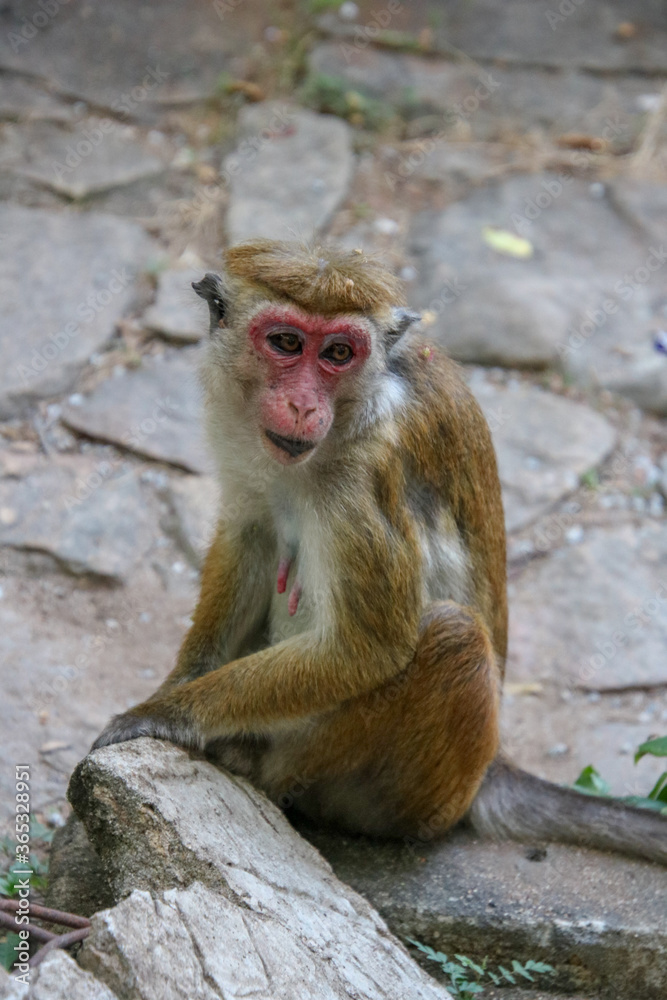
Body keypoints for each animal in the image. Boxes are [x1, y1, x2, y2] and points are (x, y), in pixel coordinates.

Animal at [95, 238, 667, 864]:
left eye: (339, 353)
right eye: (286, 343)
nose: (303, 405)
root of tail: (491, 768)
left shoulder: (362, 477)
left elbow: (370, 647)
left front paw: (166, 714)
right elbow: (251, 533)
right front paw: (177, 682)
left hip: (419, 794)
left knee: (451, 636)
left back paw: (263, 769)